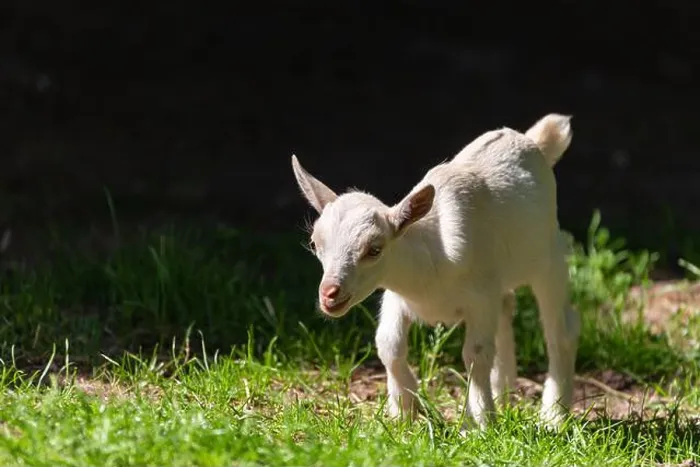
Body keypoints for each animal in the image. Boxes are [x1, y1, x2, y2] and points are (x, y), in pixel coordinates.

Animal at [290, 113, 580, 431]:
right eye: (314, 243)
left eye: (374, 249)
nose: (330, 294)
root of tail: (531, 140)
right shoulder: (397, 296)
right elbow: (388, 344)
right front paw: (404, 410)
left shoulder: (481, 299)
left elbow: (476, 353)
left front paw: (481, 423)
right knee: (507, 306)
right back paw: (503, 393)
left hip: (549, 259)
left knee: (560, 330)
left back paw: (554, 415)